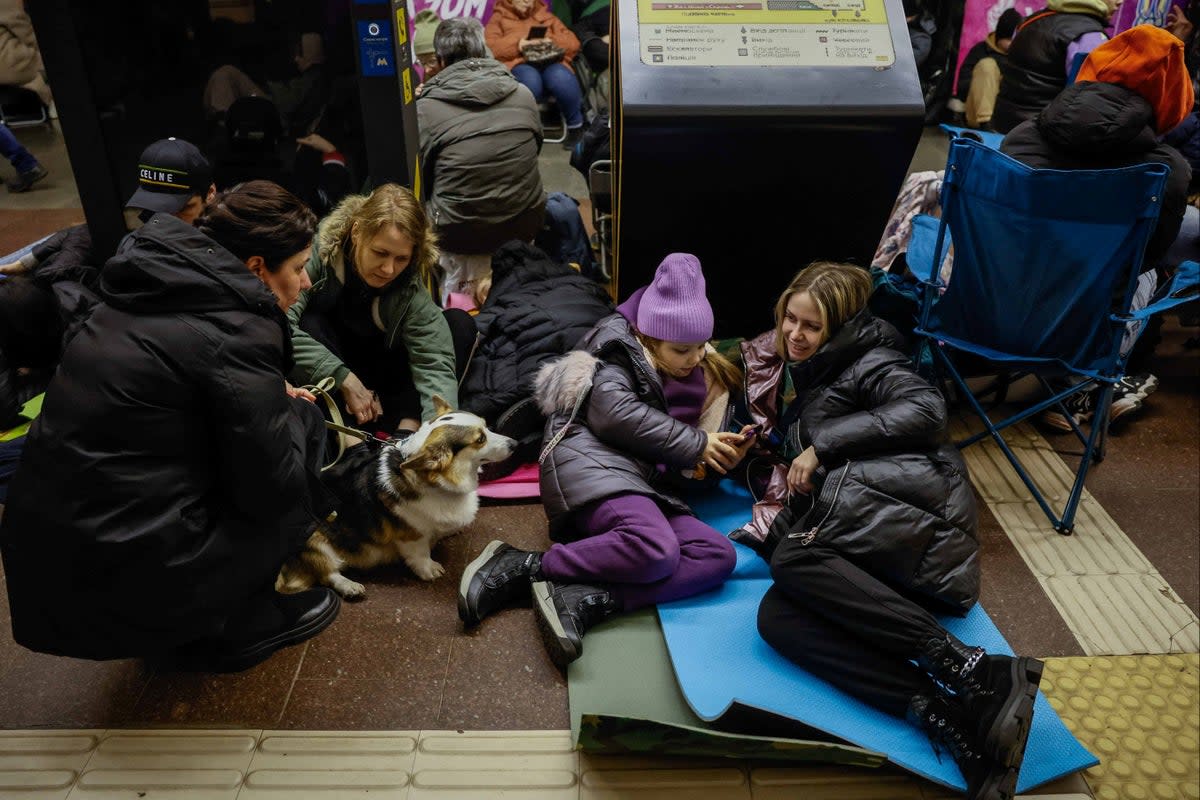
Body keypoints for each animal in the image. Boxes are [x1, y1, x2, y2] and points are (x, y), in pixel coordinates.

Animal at [276, 398, 516, 597]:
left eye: (486, 426)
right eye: (480, 439)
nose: (515, 444)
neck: (436, 480)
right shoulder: (412, 535)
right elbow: (420, 553)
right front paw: (429, 569)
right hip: (315, 541)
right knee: (327, 573)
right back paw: (350, 586)